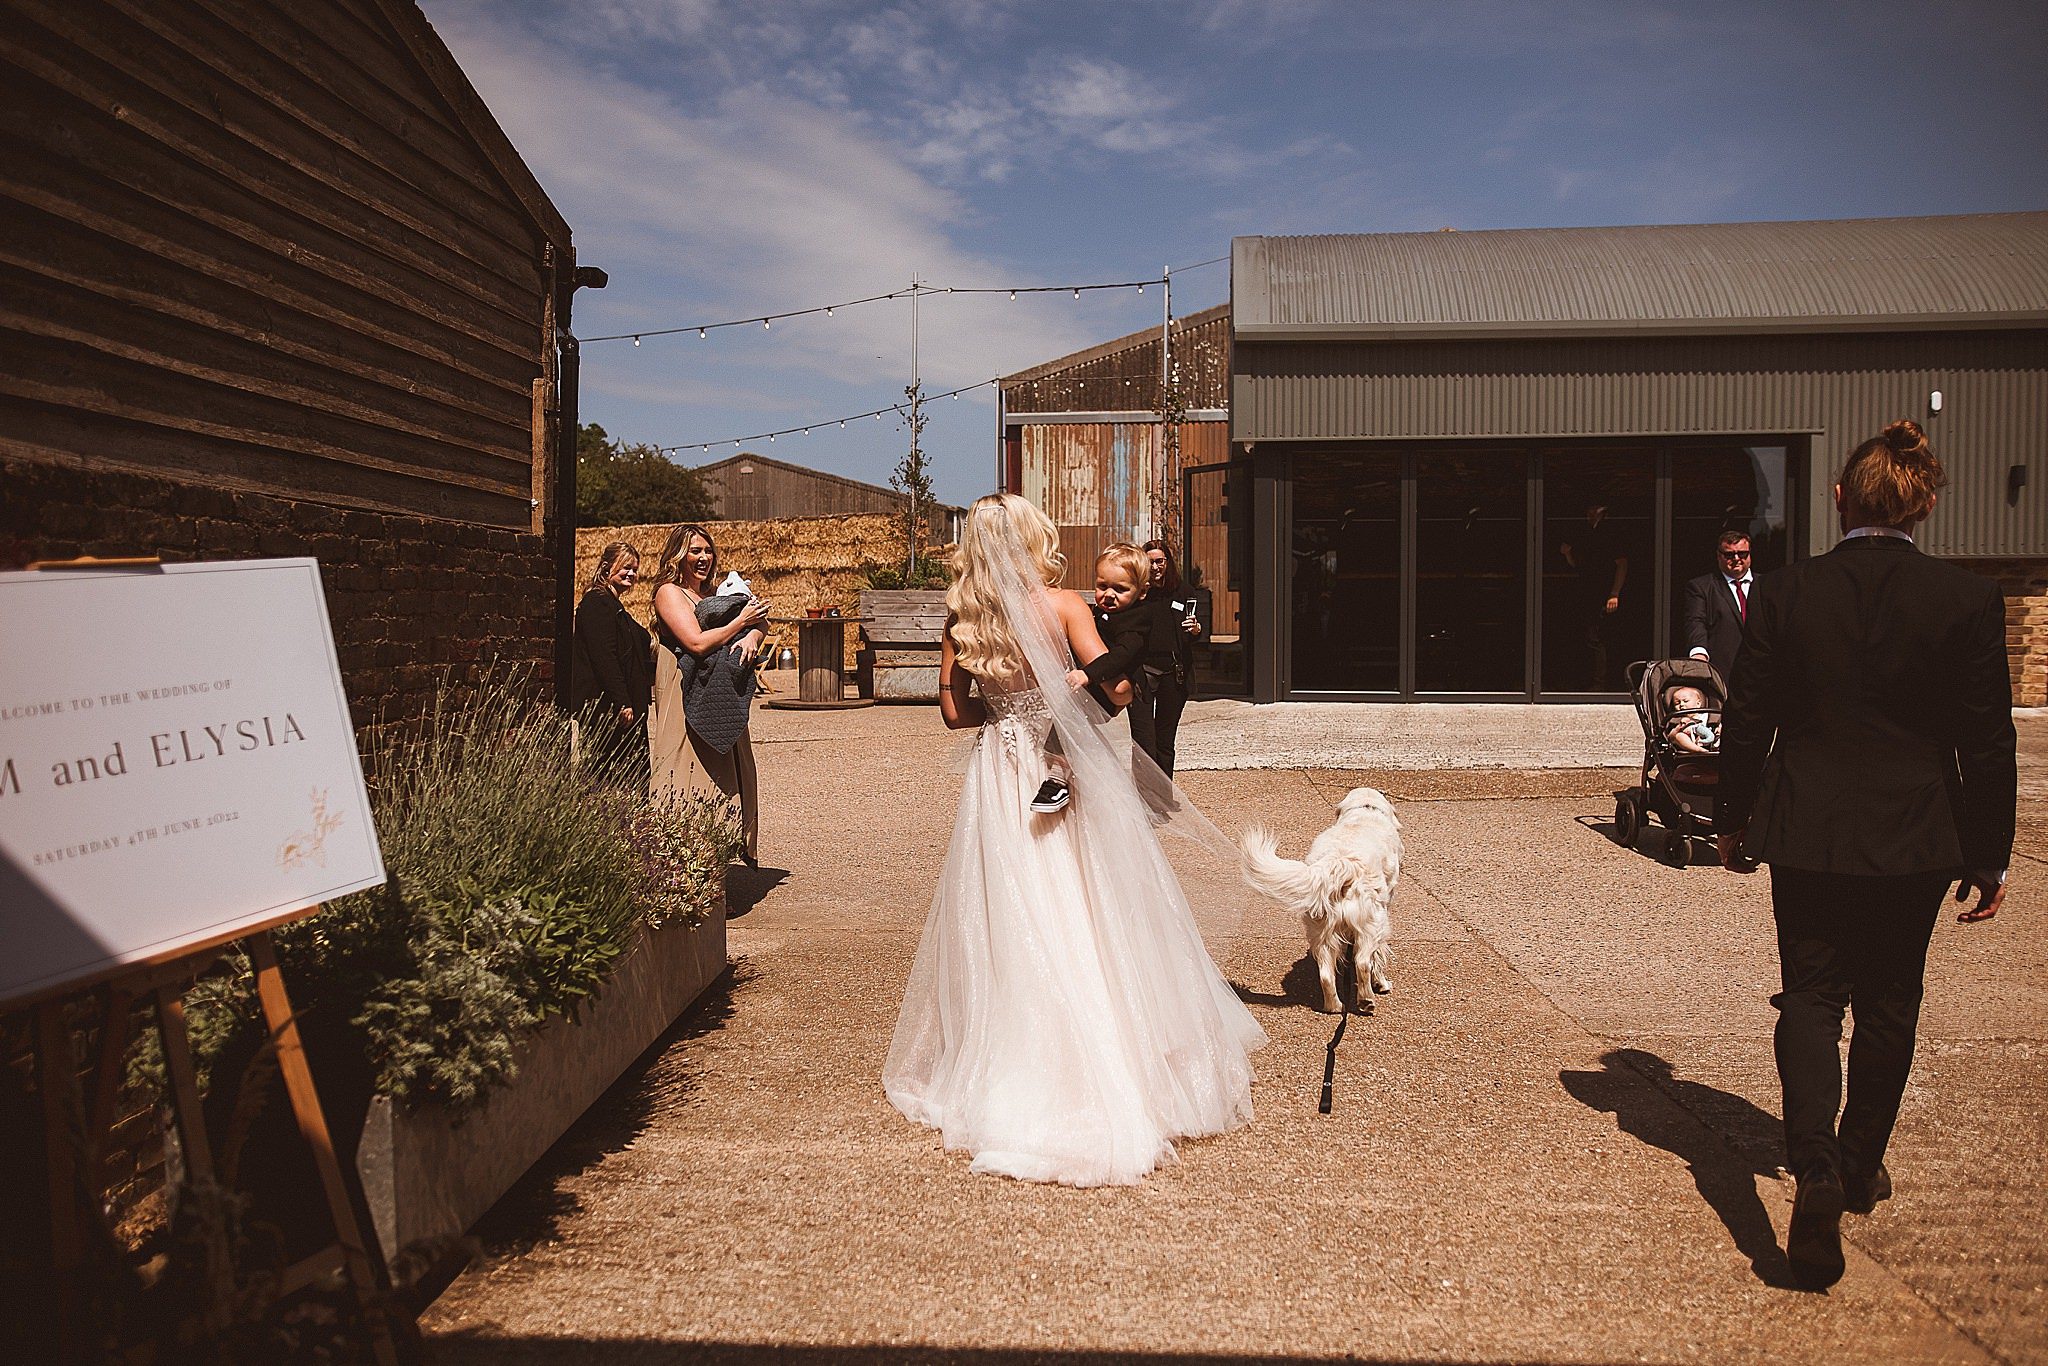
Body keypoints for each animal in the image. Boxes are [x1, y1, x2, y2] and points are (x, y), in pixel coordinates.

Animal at [1236, 790, 1400, 1015]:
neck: (1365, 810)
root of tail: (1341, 863)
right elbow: (1378, 958)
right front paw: (1381, 984)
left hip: (1320, 931)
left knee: (1326, 975)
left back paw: (1335, 1006)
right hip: (1373, 923)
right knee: (1362, 962)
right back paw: (1366, 1001)